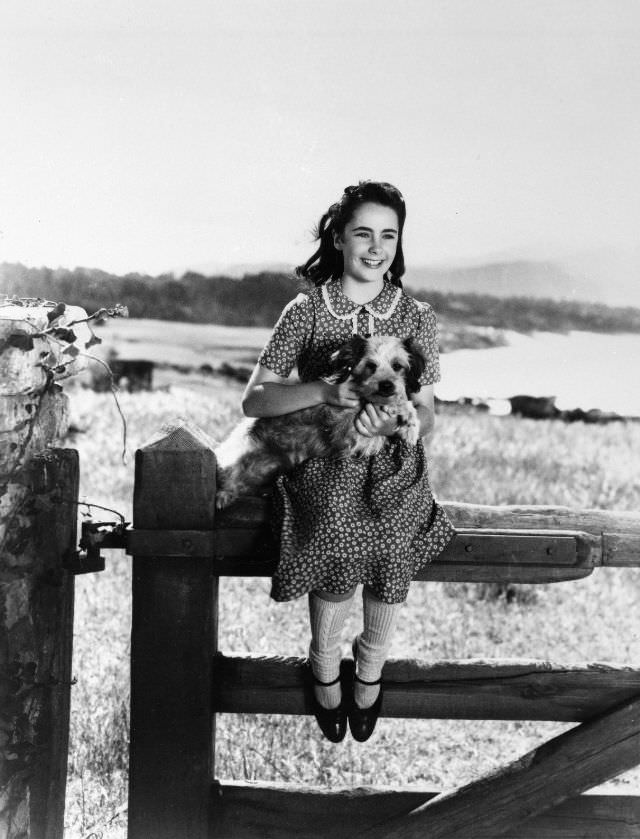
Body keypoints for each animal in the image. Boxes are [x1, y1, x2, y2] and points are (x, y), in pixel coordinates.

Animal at [214, 336, 424, 508]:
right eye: (371, 365)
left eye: (397, 366)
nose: (386, 385)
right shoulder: (349, 436)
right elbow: (394, 405)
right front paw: (406, 419)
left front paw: (409, 422)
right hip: (243, 459)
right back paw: (224, 494)